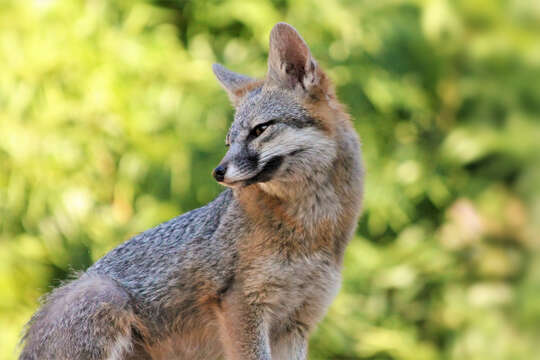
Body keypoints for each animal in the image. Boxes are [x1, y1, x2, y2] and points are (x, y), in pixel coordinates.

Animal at [20, 23, 362, 360]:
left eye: (260, 129)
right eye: (228, 142)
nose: (218, 172)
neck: (312, 227)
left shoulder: (297, 323)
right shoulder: (243, 304)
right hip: (105, 294)